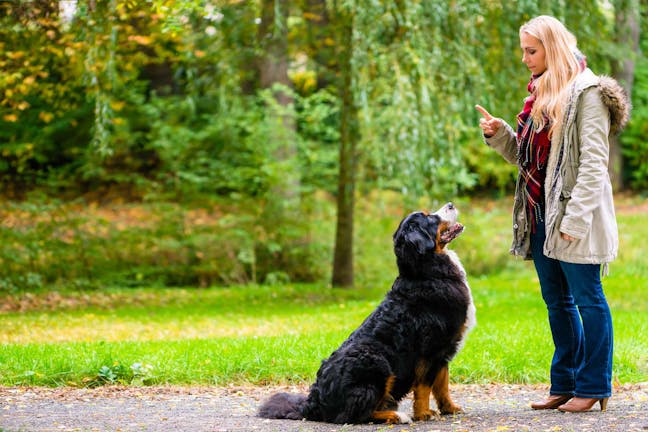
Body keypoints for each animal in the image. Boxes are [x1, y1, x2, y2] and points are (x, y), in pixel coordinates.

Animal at [258, 203, 476, 426]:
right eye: (429, 217)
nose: (451, 204)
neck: (427, 273)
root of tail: (313, 403)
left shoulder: (445, 350)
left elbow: (442, 384)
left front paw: (450, 408)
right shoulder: (431, 349)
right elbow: (424, 386)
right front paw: (423, 413)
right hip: (376, 361)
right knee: (354, 415)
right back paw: (396, 415)